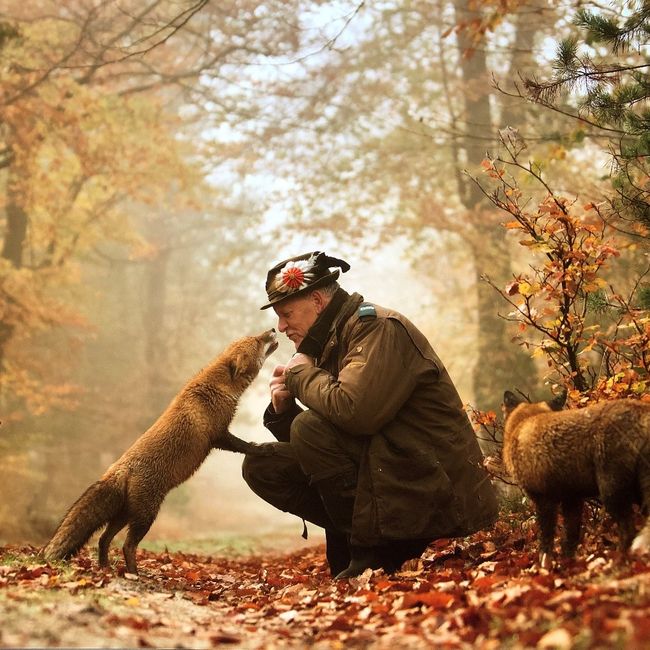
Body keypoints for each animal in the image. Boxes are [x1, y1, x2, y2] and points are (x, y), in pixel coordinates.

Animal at [44, 330, 278, 572]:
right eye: (257, 341)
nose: (271, 330)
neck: (215, 388)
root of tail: (118, 469)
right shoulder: (219, 435)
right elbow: (244, 445)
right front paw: (263, 449)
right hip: (146, 515)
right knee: (127, 545)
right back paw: (133, 573)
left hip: (125, 515)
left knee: (103, 539)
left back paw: (106, 568)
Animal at [504, 388, 648, 564]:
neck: (522, 425)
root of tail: (639, 409)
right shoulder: (572, 499)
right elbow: (570, 539)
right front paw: (569, 565)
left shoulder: (544, 500)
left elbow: (546, 542)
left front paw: (545, 566)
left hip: (611, 493)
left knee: (628, 531)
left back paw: (618, 560)